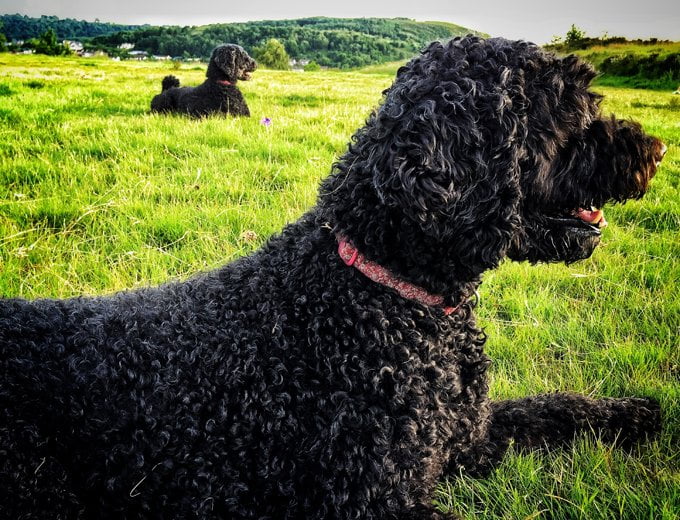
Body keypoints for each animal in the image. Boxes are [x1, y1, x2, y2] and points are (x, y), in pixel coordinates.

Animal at [0, 35, 668, 516]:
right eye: (568, 113)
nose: (658, 151)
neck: (385, 293)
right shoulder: (372, 500)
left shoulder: (468, 436)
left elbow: (556, 408)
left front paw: (633, 412)